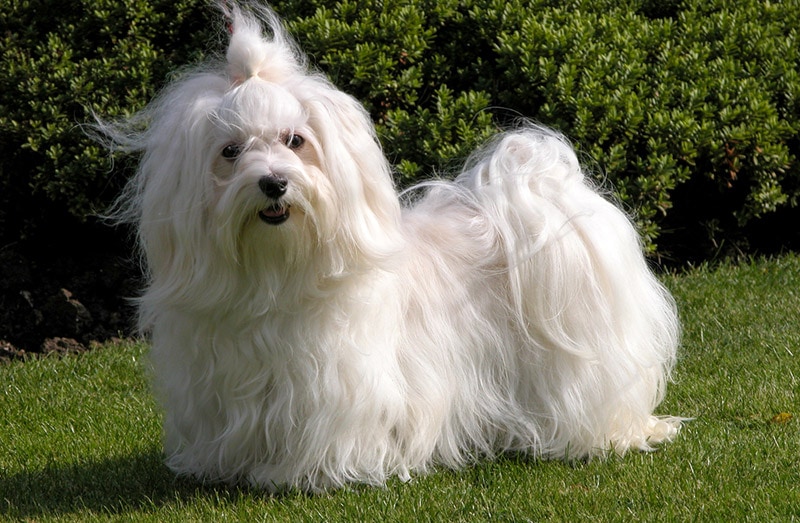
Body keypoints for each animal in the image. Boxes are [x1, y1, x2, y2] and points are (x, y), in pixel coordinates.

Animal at [104, 3, 680, 492]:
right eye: (229, 151)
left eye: (296, 141)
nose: (273, 183)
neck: (275, 275)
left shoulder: (336, 386)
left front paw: (299, 475)